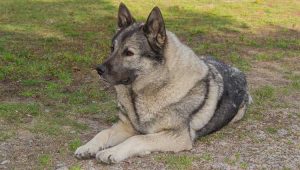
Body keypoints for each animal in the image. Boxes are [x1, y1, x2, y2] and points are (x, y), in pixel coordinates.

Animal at [74, 2, 251, 163]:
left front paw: (112, 151)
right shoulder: (125, 126)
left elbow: (138, 139)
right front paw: (88, 146)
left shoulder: (178, 136)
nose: (98, 69)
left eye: (129, 53)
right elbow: (103, 132)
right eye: (112, 49)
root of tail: (237, 70)